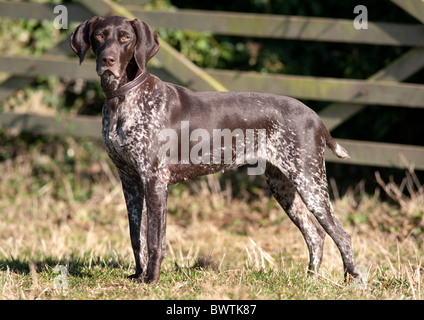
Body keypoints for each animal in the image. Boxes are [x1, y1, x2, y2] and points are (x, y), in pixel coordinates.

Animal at [70, 16, 362, 284]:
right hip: (284, 187)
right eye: (99, 36)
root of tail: (315, 117)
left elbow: (154, 239)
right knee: (315, 234)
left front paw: (151, 279)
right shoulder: (130, 181)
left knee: (342, 234)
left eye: (125, 38)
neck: (123, 99)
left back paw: (353, 280)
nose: (107, 60)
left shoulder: (155, 181)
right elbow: (136, 236)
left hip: (310, 183)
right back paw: (310, 279)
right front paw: (138, 275)